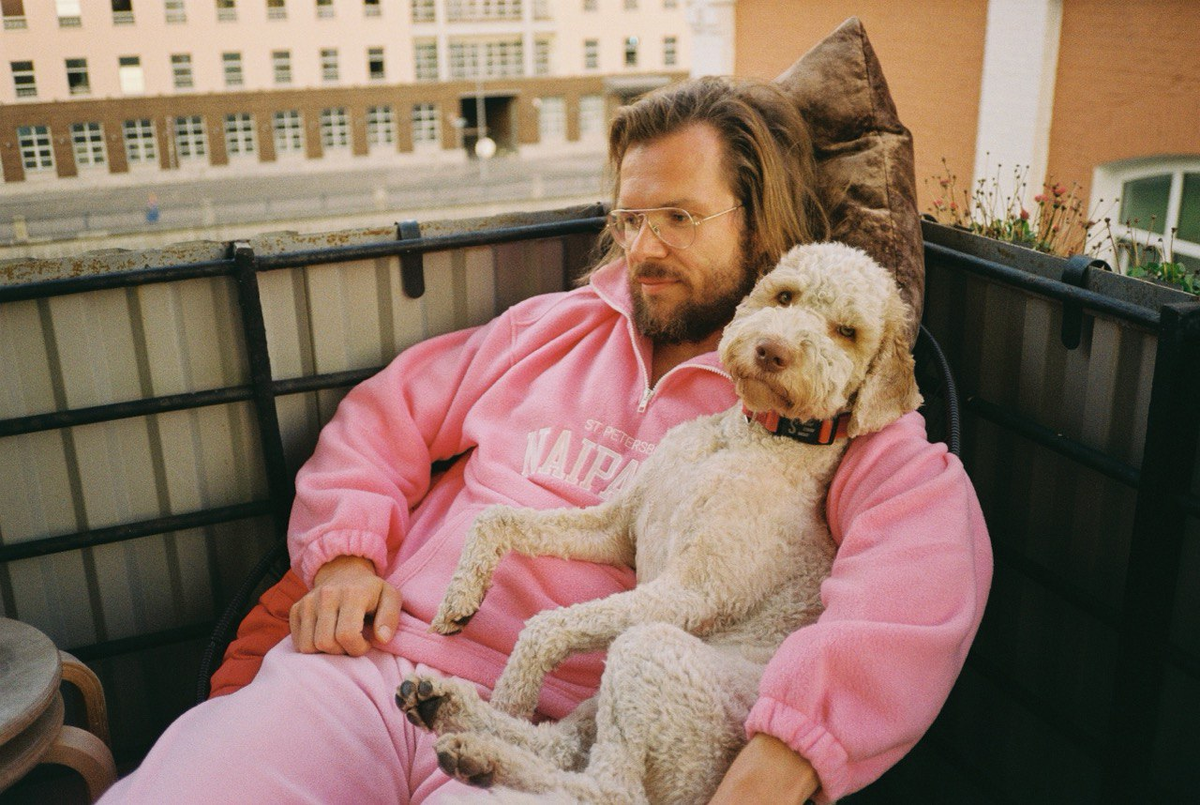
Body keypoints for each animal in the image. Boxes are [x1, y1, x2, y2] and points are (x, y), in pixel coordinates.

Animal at [395, 242, 922, 804]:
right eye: (785, 295)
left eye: (848, 331)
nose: (771, 350)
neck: (748, 439)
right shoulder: (619, 527)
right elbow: (496, 519)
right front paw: (460, 598)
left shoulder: (695, 592)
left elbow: (546, 626)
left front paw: (513, 692)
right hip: (607, 699)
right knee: (561, 748)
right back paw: (447, 711)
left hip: (648, 654)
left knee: (608, 790)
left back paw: (480, 754)